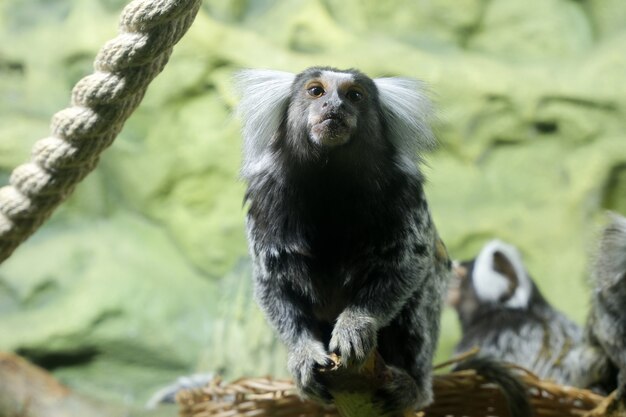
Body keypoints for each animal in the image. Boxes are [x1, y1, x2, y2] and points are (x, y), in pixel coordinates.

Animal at [235, 66, 448, 408]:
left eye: (354, 95)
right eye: (316, 91)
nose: (334, 106)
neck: (329, 177)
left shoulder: (402, 191)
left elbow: (410, 262)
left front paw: (355, 326)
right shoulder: (266, 196)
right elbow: (273, 283)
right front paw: (302, 353)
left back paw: (412, 388)